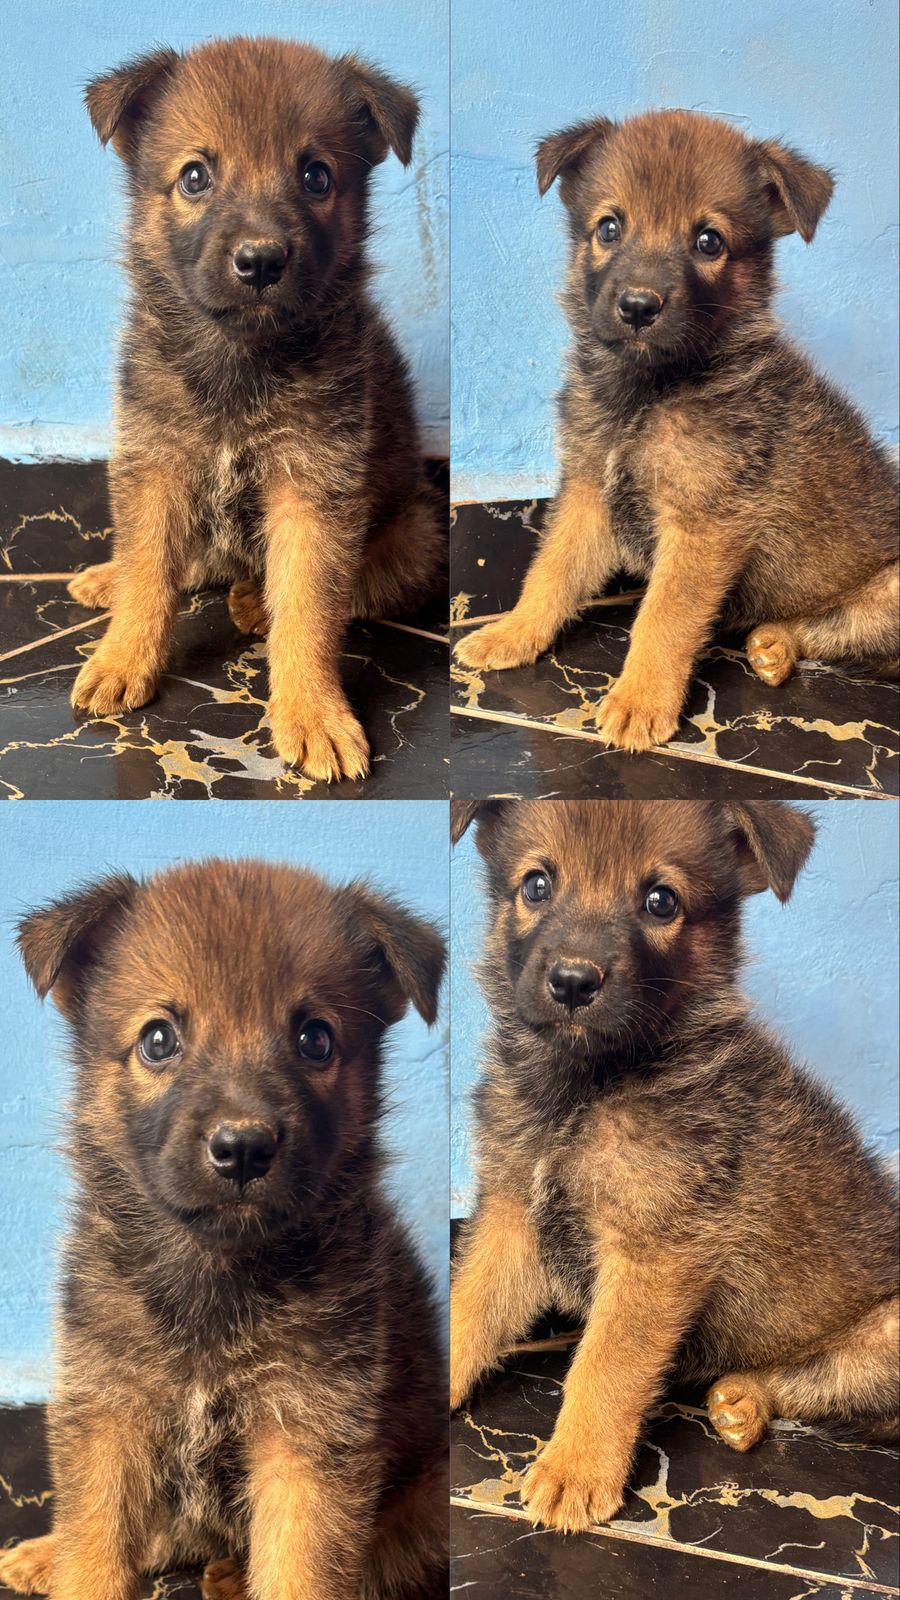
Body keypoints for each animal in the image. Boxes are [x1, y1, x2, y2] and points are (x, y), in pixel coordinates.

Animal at [0, 859, 447, 1599]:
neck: (214, 1271)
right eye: (158, 1040)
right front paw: (69, 1561)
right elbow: (95, 1549)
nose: (243, 1149)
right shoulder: (109, 1416)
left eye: (315, 1039)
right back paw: (47, 1553)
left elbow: (298, 1570)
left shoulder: (306, 1436)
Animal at [67, 37, 443, 782]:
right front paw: (123, 658)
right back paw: (110, 576)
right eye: (194, 177)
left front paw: (312, 714)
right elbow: (149, 571)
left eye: (317, 177)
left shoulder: (313, 487)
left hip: (413, 534)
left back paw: (252, 600)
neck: (238, 362)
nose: (262, 261)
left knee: (350, 586)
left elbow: (307, 606)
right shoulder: (156, 466)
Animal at [450, 799, 899, 1534]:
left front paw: (574, 1472)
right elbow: (472, 1307)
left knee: (823, 1382)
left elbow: (606, 1364)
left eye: (661, 901)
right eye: (536, 885)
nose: (573, 982)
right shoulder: (512, 1211)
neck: (586, 1090)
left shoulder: (655, 1251)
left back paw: (746, 1402)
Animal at [454, 110, 900, 751]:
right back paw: (773, 647)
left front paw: (639, 701)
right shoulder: (588, 492)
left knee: (852, 635)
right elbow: (552, 571)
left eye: (708, 241)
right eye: (609, 228)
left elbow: (663, 616)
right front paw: (512, 633)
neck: (648, 394)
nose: (639, 306)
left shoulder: (703, 525)